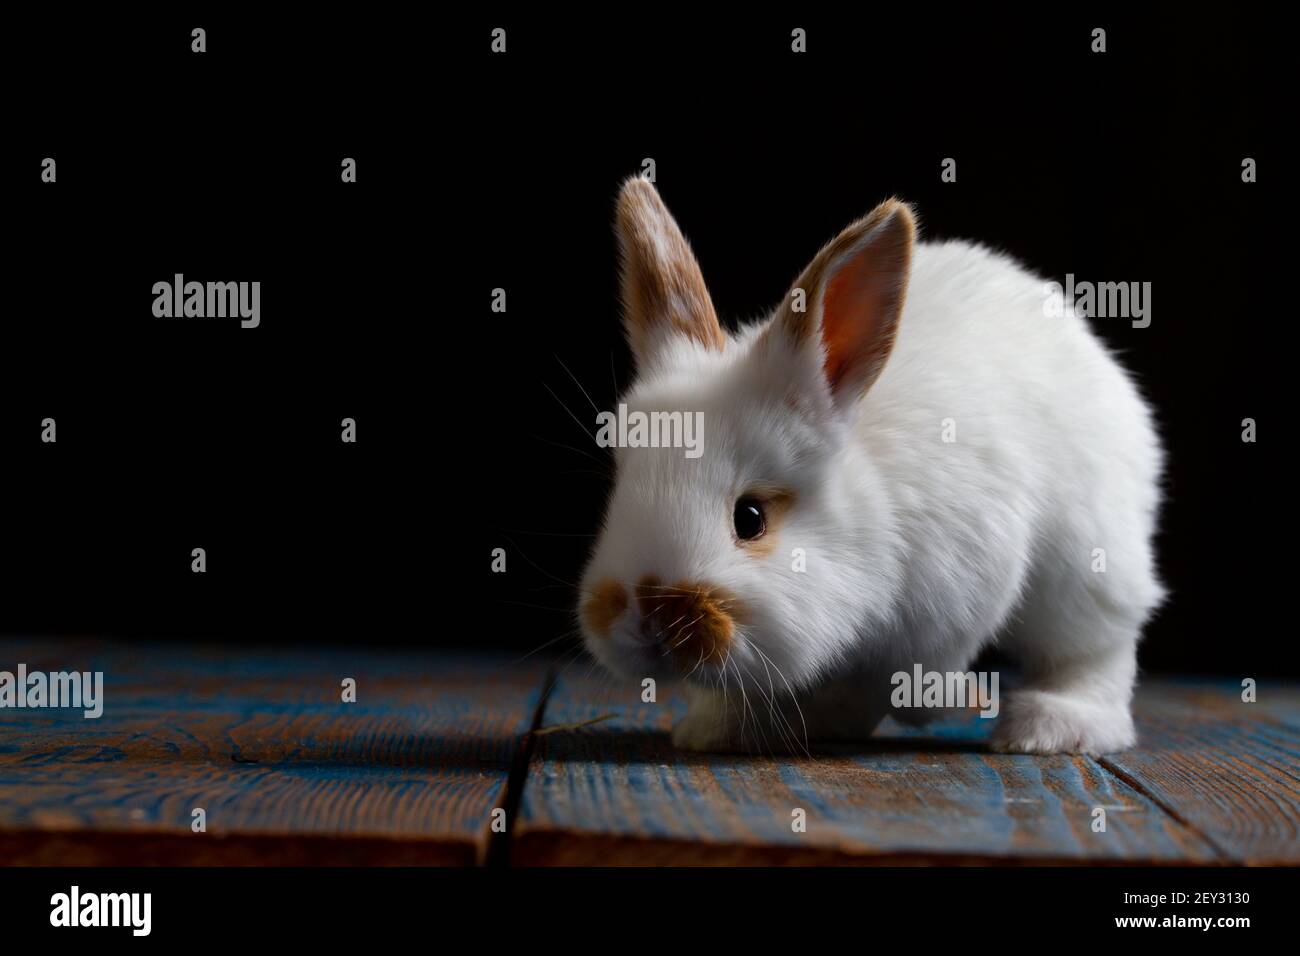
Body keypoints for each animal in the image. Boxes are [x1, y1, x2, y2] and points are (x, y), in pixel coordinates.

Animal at [578, 177, 1164, 756]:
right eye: (619, 496)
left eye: (751, 518)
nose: (648, 615)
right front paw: (717, 728)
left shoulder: (965, 590)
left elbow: (902, 682)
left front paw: (944, 703)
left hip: (1087, 569)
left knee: (1095, 651)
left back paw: (1051, 726)